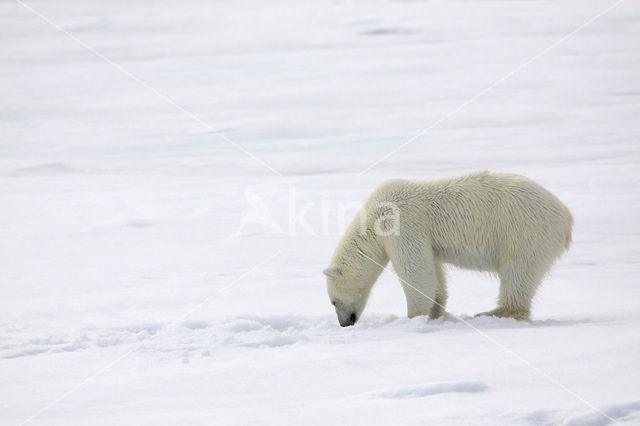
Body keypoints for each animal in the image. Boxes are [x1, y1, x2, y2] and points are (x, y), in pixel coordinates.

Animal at [324, 171, 576, 328]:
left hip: (523, 231)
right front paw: (436, 312)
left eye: (333, 301)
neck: (372, 219)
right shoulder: (426, 240)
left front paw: (413, 317)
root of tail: (566, 219)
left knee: (518, 272)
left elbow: (415, 271)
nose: (344, 323)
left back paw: (495, 312)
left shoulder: (402, 222)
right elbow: (432, 272)